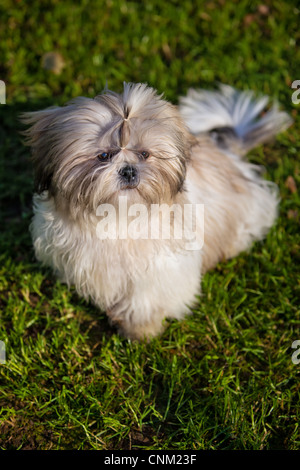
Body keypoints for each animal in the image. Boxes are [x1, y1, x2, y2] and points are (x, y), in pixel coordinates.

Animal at [22, 82, 292, 340]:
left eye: (145, 154)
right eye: (103, 155)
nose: (128, 170)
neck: (118, 217)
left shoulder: (157, 269)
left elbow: (144, 299)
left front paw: (140, 330)